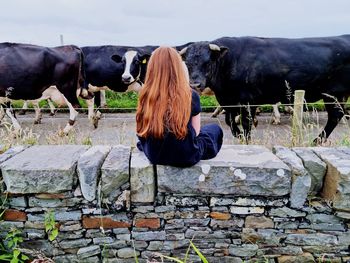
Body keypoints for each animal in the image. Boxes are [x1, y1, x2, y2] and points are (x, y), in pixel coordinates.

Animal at [179, 35, 350, 144]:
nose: (194, 85)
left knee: (335, 116)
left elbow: (246, 122)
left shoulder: (248, 101)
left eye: (207, 62)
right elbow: (230, 122)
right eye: (187, 63)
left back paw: (317, 140)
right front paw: (240, 136)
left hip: (332, 94)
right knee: (337, 115)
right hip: (337, 96)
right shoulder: (229, 101)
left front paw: (247, 140)